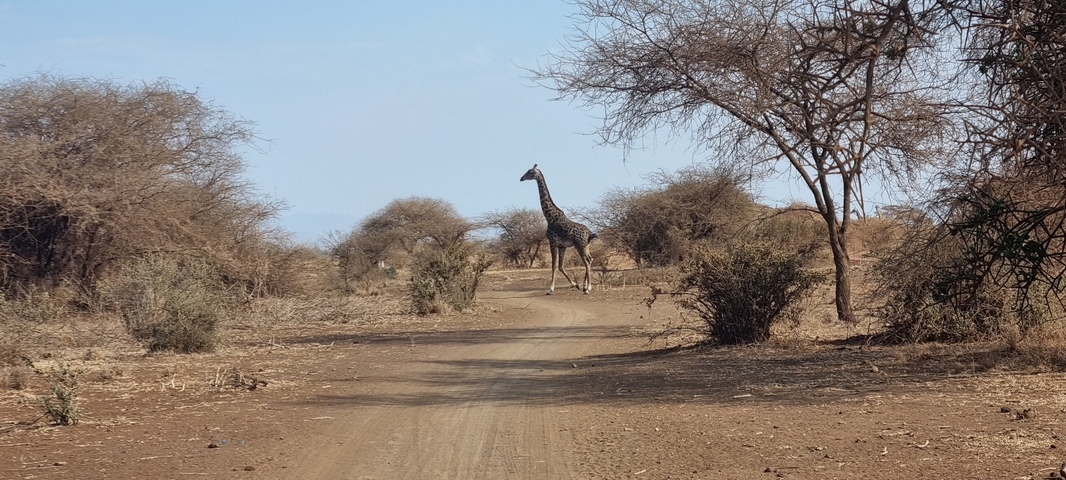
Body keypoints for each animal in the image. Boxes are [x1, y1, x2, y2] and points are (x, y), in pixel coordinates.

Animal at [520, 164, 597, 294]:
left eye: (530, 172)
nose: (521, 178)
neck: (549, 217)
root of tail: (590, 234)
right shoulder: (562, 246)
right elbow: (560, 266)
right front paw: (575, 284)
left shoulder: (552, 242)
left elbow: (554, 266)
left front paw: (550, 289)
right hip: (585, 245)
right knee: (590, 259)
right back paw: (584, 286)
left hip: (580, 245)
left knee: (587, 262)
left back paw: (588, 288)